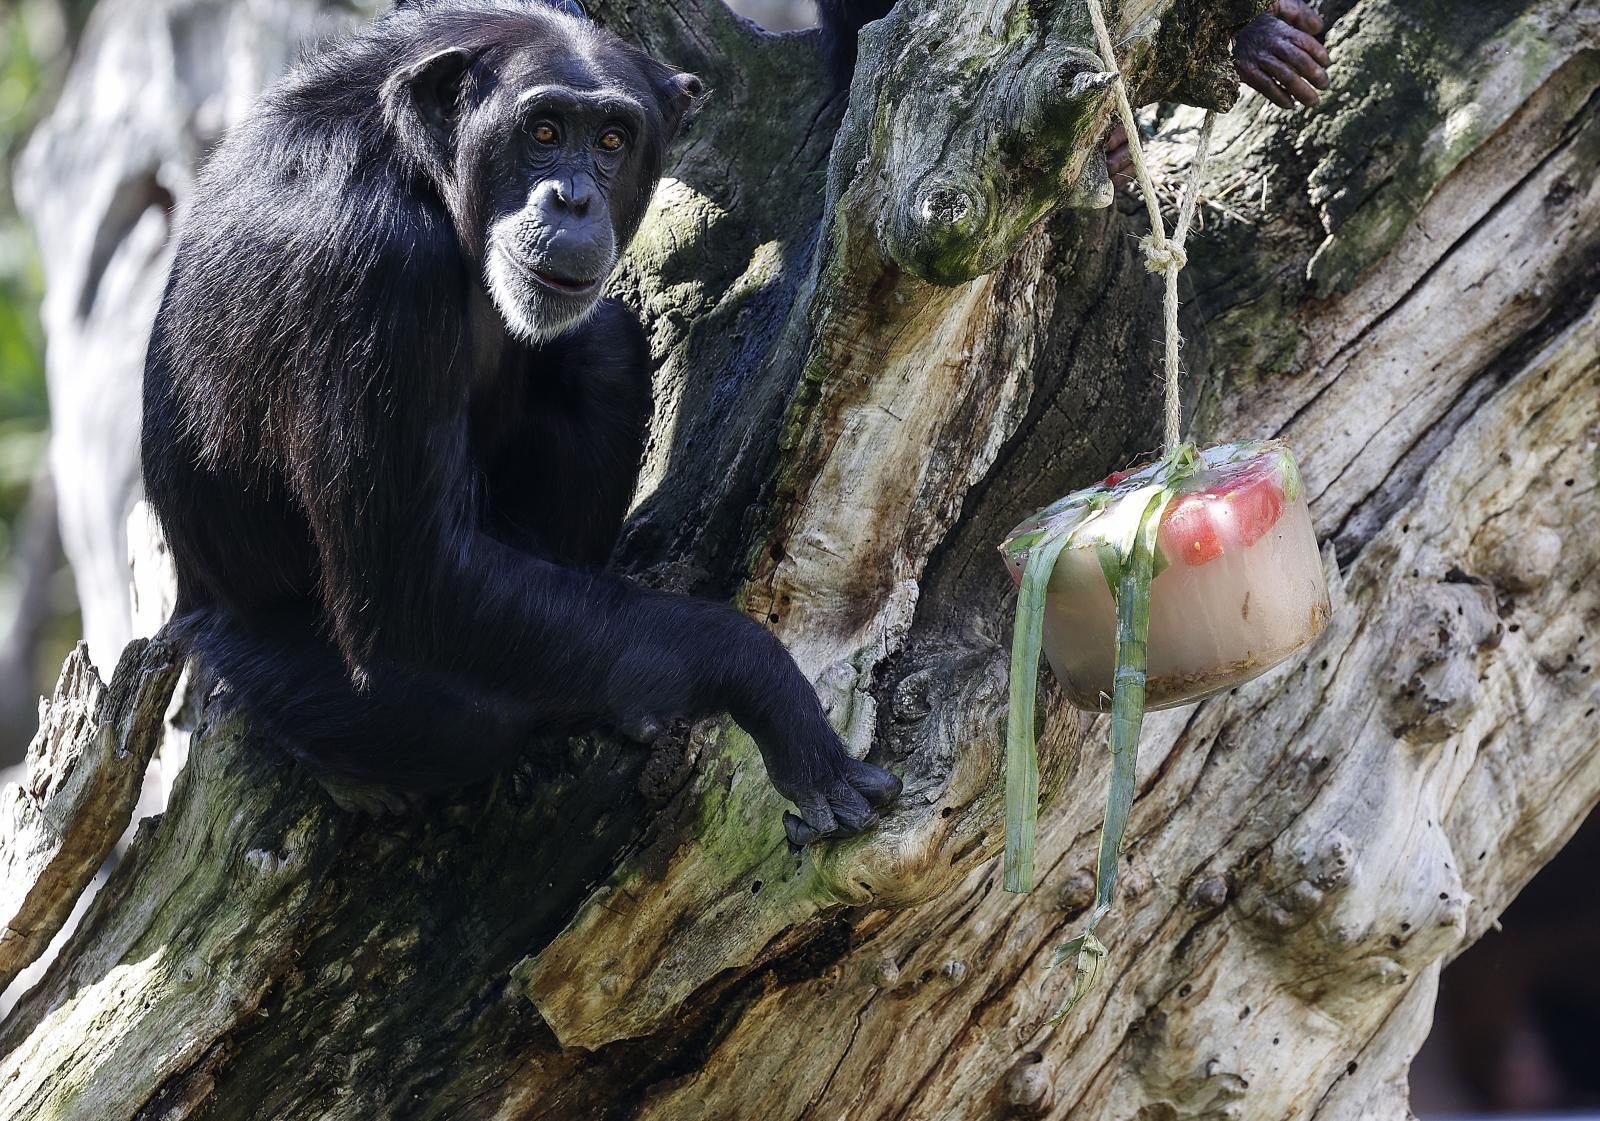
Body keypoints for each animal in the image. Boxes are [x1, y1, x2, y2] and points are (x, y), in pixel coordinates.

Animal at [140, 0, 902, 837]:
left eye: (610, 140)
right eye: (542, 131)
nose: (572, 198)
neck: (417, 171)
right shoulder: (370, 270)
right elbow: (417, 580)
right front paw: (767, 687)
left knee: (604, 346)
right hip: (254, 655)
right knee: (468, 711)